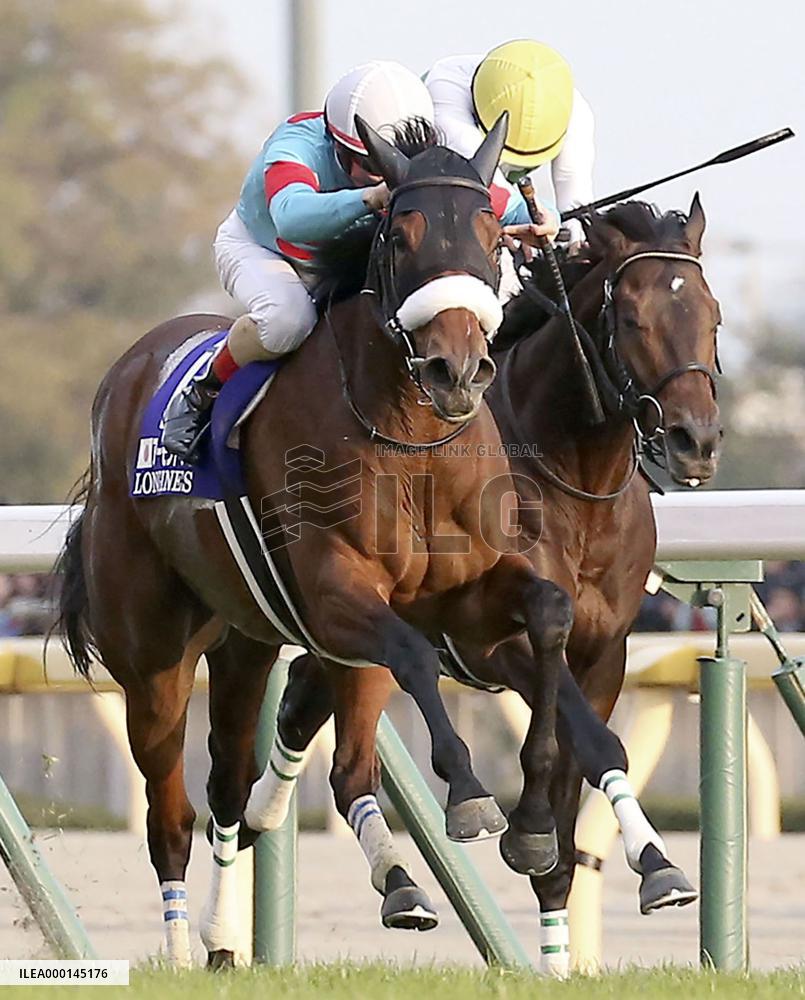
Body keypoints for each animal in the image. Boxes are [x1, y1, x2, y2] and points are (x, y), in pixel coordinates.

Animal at [56, 115, 580, 966]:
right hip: (153, 658)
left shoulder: (465, 592)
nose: (457, 368)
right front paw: (471, 795)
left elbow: (549, 615)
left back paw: (288, 920)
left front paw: (533, 824)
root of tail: (127, 373)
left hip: (244, 640)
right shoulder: (340, 593)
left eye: (488, 234)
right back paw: (179, 948)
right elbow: (413, 657)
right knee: (170, 815)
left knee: (250, 784)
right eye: (398, 234)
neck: (411, 440)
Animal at [260, 194, 722, 973]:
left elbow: (589, 765)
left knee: (303, 699)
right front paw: (528, 830)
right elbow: (574, 739)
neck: (575, 482)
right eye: (632, 318)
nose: (697, 440)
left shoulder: (606, 655)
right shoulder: (491, 645)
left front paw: (641, 872)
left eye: (712, 315)